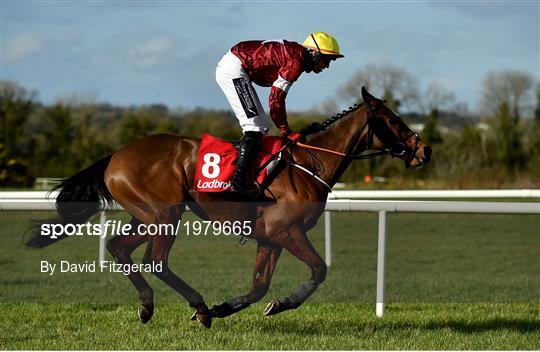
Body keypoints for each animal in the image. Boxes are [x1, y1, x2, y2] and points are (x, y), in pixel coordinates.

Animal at [26, 87, 430, 328]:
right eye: (392, 119)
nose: (423, 150)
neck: (309, 163)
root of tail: (115, 156)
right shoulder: (288, 231)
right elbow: (319, 271)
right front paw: (281, 303)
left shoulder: (269, 237)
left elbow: (259, 288)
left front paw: (237, 307)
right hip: (166, 215)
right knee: (155, 260)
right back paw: (199, 307)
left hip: (147, 216)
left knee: (118, 248)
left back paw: (149, 305)